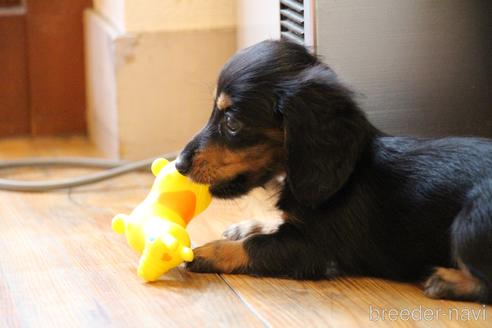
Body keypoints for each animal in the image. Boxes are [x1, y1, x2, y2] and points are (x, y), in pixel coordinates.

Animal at [176, 39, 492, 304]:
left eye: (231, 123)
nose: (179, 164)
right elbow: (275, 224)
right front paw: (247, 225)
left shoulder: (316, 250)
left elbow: (257, 246)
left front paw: (208, 250)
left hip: (469, 222)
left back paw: (446, 281)